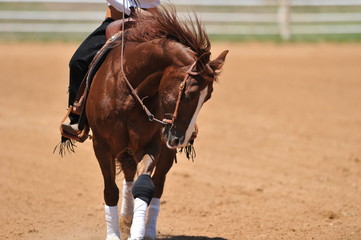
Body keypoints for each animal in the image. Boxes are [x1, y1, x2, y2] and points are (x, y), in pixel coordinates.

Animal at [86, 7, 228, 240]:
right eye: (188, 93)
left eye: (207, 98)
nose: (181, 139)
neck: (127, 91)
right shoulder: (102, 145)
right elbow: (111, 190)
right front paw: (115, 234)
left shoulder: (150, 145)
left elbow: (145, 186)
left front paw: (137, 233)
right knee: (128, 173)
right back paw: (126, 217)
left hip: (165, 149)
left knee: (157, 185)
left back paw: (147, 229)